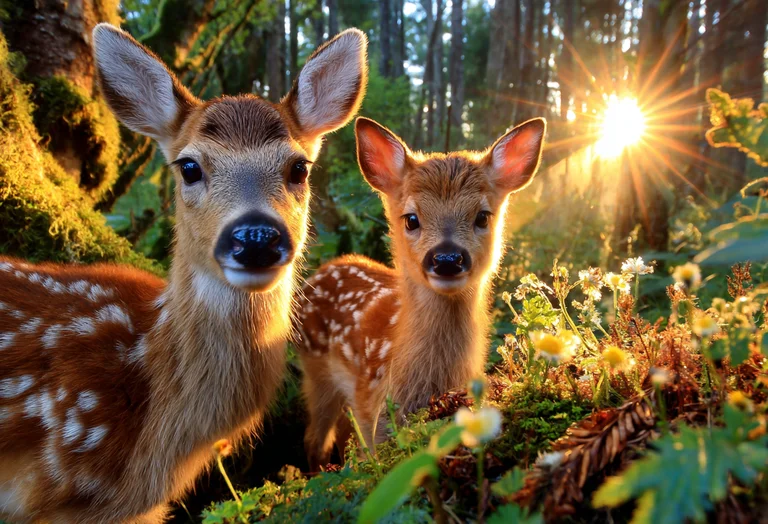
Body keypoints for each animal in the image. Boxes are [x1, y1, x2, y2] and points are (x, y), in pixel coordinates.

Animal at [295, 117, 546, 471]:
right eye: (411, 219)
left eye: (482, 216)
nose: (447, 259)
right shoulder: (377, 422)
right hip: (315, 369)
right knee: (315, 439)